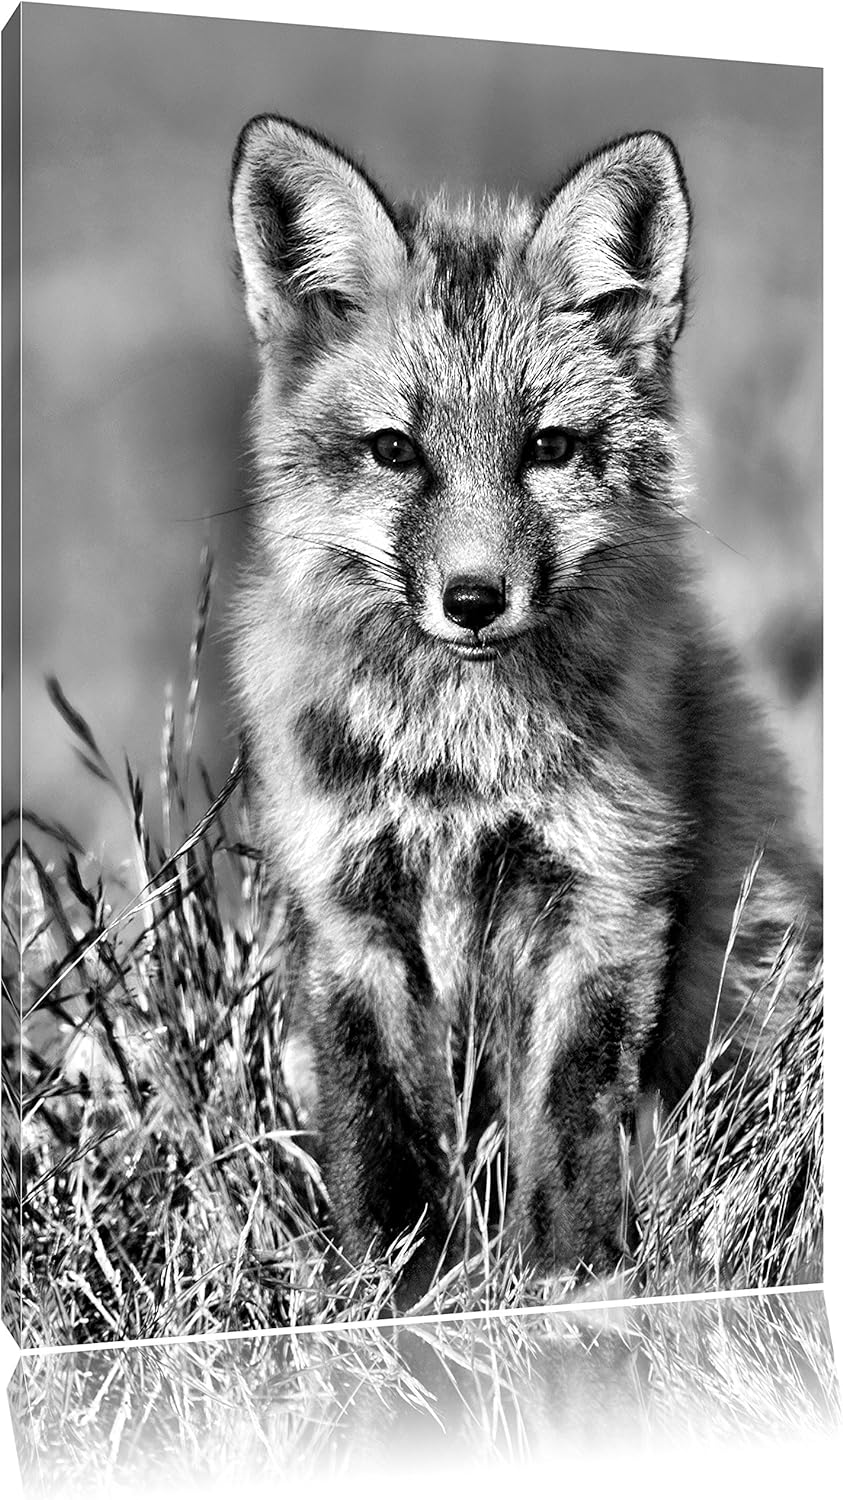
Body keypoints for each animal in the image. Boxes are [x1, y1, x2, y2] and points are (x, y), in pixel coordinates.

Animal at [228, 116, 821, 1295]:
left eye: (546, 448)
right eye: (395, 451)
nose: (473, 600)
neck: (461, 764)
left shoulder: (605, 894)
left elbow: (569, 1123)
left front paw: (567, 1289)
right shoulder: (347, 905)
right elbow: (378, 1134)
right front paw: (394, 1299)